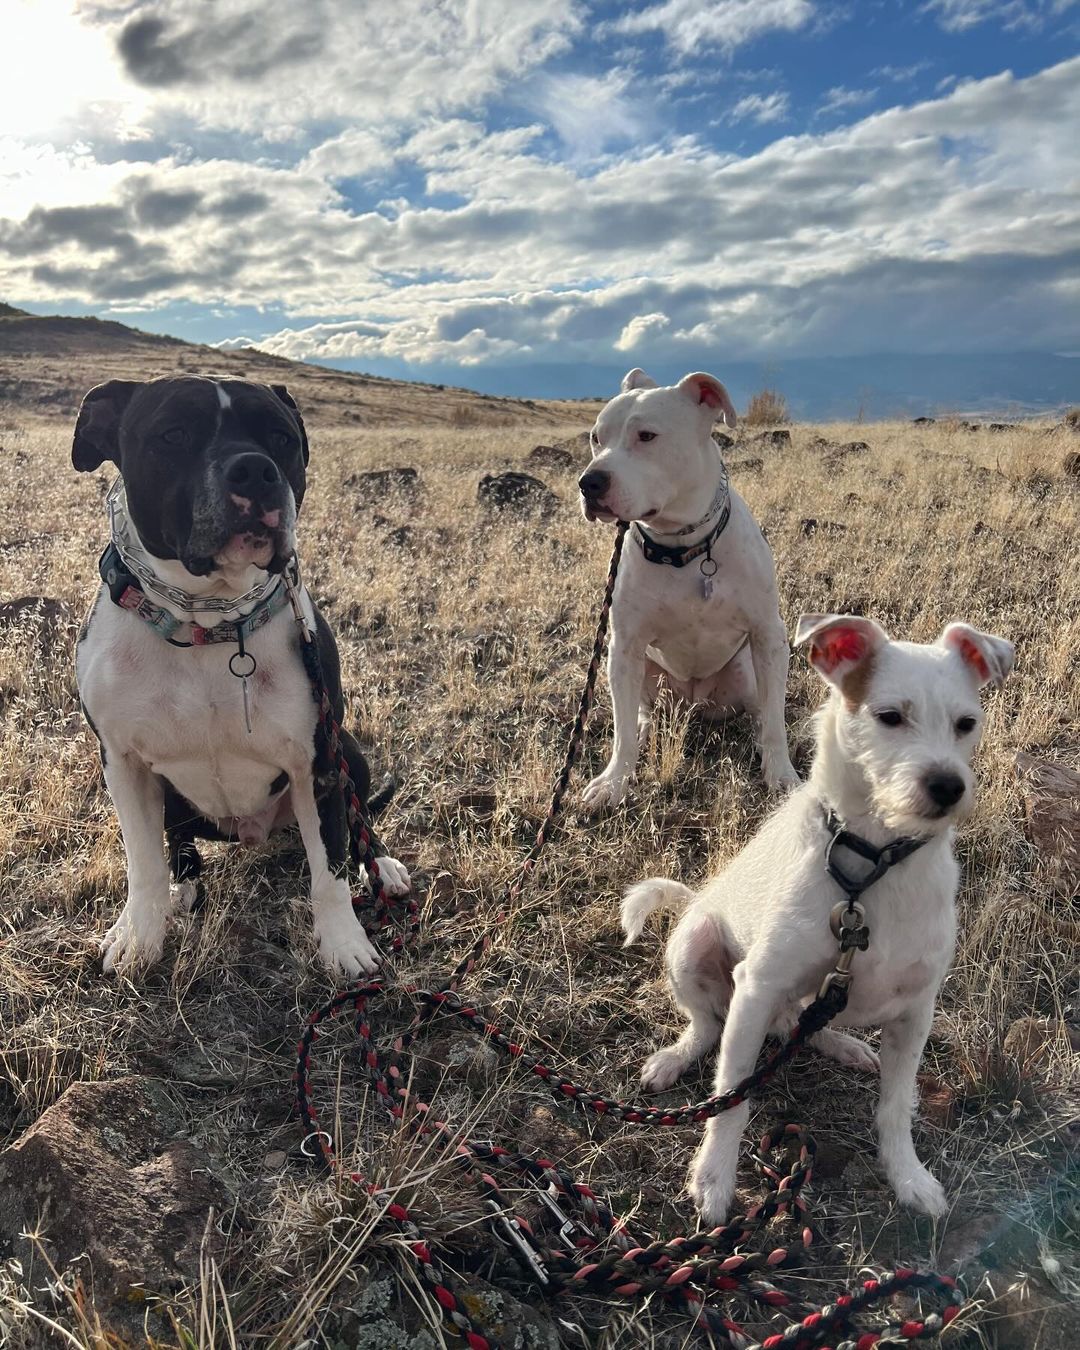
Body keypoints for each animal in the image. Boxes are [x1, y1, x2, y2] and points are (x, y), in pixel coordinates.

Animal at [72, 375, 410, 977]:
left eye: (281, 439)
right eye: (173, 433)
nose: (254, 469)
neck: (207, 622)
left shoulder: (319, 761)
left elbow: (330, 869)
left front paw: (344, 945)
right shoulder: (123, 763)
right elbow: (142, 862)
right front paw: (138, 936)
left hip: (352, 752)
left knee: (357, 825)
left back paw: (382, 866)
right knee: (178, 844)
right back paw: (183, 886)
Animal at [577, 369, 799, 804]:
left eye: (647, 435)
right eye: (596, 437)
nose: (588, 482)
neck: (684, 547)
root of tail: (694, 702)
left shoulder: (768, 635)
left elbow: (776, 722)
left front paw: (781, 773)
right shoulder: (624, 646)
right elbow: (621, 731)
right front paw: (614, 781)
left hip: (744, 672)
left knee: (761, 711)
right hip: (643, 673)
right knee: (638, 713)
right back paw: (644, 729)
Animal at [621, 615, 1015, 1225]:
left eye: (966, 724)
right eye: (889, 716)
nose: (949, 786)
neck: (871, 864)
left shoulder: (917, 1009)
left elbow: (896, 1106)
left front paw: (908, 1177)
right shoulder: (756, 987)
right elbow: (732, 1095)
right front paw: (713, 1178)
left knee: (800, 1022)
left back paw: (842, 1045)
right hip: (694, 945)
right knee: (710, 1024)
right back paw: (675, 1059)